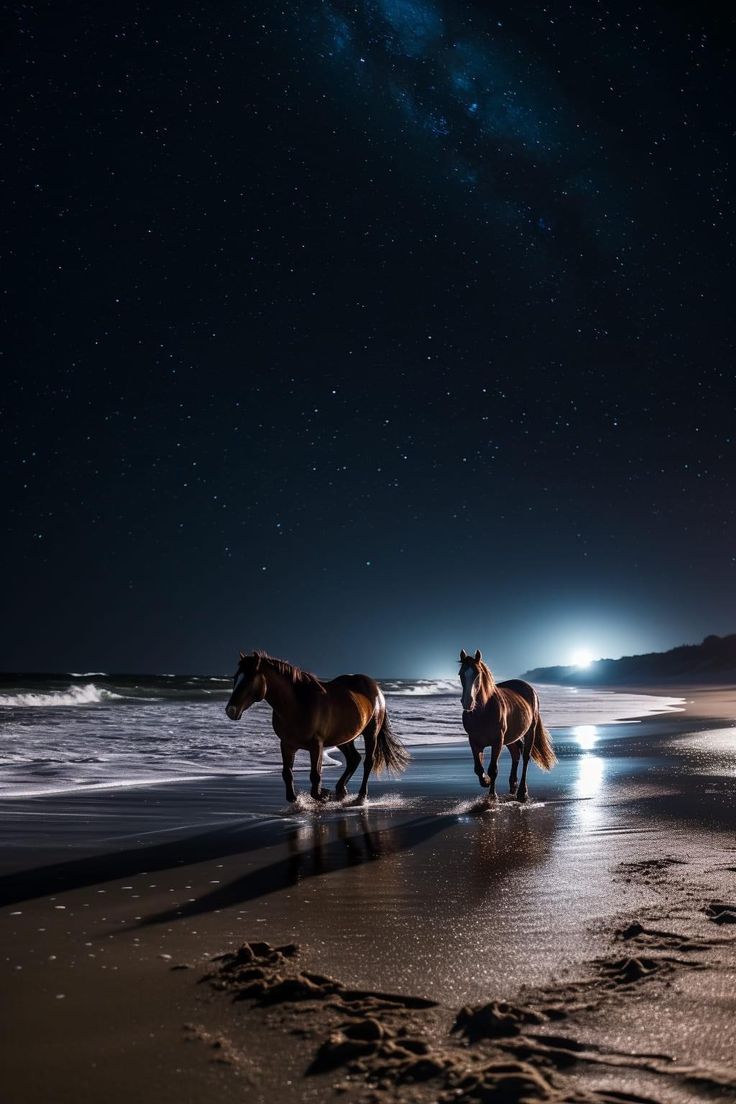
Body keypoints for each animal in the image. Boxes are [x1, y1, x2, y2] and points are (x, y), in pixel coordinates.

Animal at [225, 653, 408, 803]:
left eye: (249, 680)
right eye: (235, 677)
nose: (230, 710)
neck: (297, 705)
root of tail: (375, 686)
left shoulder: (316, 745)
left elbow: (315, 776)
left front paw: (323, 794)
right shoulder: (287, 745)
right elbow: (287, 774)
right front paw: (298, 798)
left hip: (371, 733)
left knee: (368, 761)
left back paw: (361, 796)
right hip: (343, 737)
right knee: (354, 759)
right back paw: (340, 790)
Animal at [456, 644, 556, 803]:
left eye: (478, 674)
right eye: (461, 674)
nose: (468, 702)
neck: (482, 712)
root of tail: (528, 688)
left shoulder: (497, 741)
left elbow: (493, 769)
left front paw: (492, 795)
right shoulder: (474, 741)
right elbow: (478, 768)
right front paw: (485, 781)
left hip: (530, 731)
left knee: (525, 757)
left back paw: (522, 792)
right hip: (510, 737)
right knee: (516, 754)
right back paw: (513, 785)